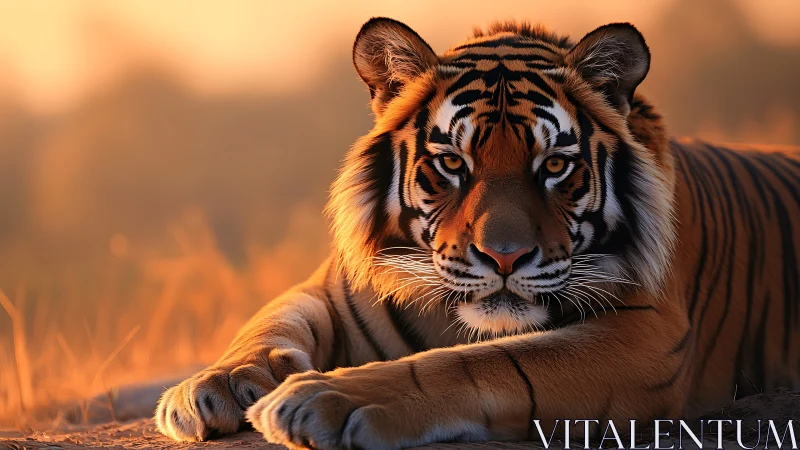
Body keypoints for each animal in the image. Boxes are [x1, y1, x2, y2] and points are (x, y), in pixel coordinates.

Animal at [155, 18, 800, 449]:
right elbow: (269, 320)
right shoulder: (333, 288)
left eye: (554, 166)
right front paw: (219, 385)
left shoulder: (647, 336)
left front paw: (324, 398)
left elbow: (484, 362)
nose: (504, 257)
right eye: (451, 164)